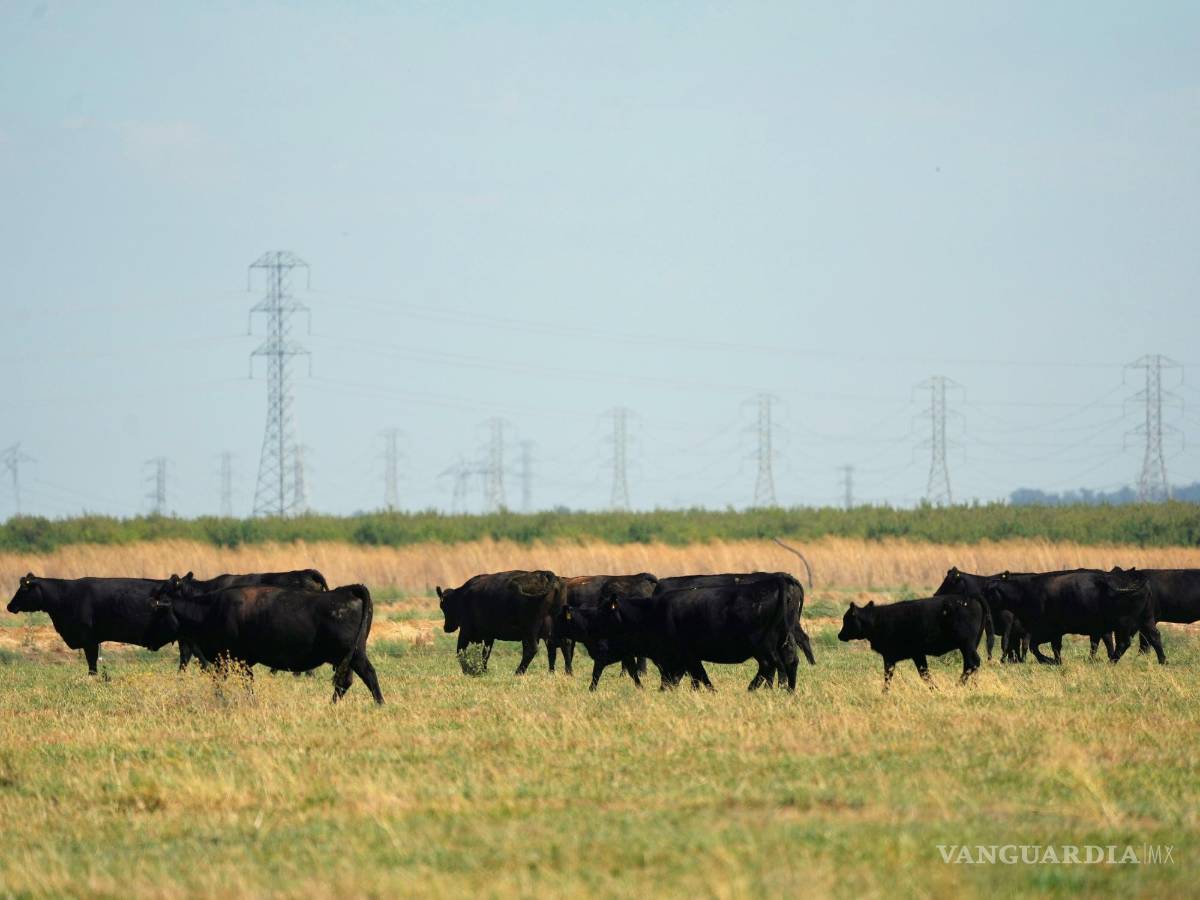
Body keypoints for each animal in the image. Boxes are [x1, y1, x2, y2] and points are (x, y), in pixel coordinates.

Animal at [150, 581, 382, 704]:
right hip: (347, 658)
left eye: (156, 611)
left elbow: (230, 682)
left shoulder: (231, 659)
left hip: (355, 655)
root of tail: (347, 590)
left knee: (368, 675)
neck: (210, 610)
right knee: (344, 682)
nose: (149, 641)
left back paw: (380, 704)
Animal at [436, 570, 568, 676]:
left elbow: (461, 651)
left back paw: (518, 672)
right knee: (555, 648)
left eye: (444, 606)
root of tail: (543, 573)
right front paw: (482, 670)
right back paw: (553, 672)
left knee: (532, 649)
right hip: (550, 629)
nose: (446, 628)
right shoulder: (487, 635)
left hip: (530, 629)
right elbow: (485, 653)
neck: (462, 597)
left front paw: (468, 670)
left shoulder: (466, 630)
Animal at [567, 574, 802, 691]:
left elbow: (696, 677)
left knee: (770, 665)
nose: (590, 628)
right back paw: (788, 691)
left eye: (604, 611)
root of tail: (774, 582)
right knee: (789, 662)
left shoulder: (682, 655)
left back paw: (752, 690)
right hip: (784, 640)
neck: (651, 613)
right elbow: (681, 679)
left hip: (762, 644)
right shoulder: (681, 658)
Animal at [837, 595, 989, 691]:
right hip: (969, 646)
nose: (840, 635)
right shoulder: (917, 655)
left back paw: (958, 686)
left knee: (973, 663)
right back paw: (973, 687)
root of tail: (971, 598)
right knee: (970, 664)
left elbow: (890, 676)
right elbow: (924, 674)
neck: (877, 620)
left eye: (847, 620)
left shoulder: (891, 656)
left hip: (966, 644)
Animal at [984, 569, 1163, 665]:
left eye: (990, 593)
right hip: (1146, 620)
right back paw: (1163, 660)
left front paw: (1052, 661)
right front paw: (1055, 661)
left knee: (1124, 642)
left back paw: (1111, 661)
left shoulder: (1047, 630)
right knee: (1154, 637)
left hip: (1123, 623)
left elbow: (1039, 647)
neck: (1026, 592)